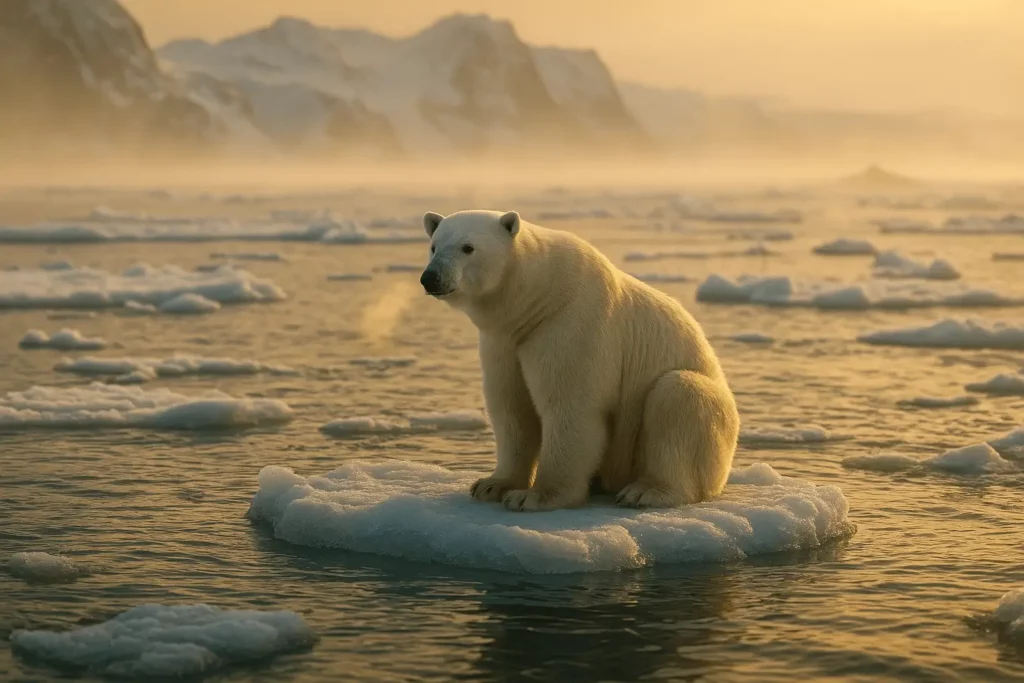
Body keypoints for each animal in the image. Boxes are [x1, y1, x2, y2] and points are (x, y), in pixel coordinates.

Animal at [420, 209, 740, 512]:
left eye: (468, 247)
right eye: (434, 246)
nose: (430, 277)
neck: (537, 298)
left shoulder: (571, 323)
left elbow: (569, 406)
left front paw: (534, 496)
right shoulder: (504, 341)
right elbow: (512, 408)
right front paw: (491, 485)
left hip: (710, 433)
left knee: (679, 394)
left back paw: (645, 491)